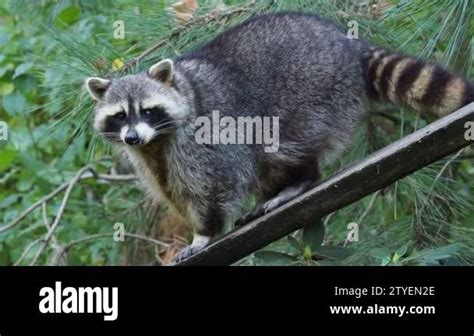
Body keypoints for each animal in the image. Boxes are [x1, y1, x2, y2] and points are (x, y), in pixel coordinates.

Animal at [86, 12, 474, 262]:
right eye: (120, 116)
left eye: (148, 111)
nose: (132, 138)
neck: (157, 140)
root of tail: (350, 46)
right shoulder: (150, 158)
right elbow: (172, 189)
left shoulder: (203, 136)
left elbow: (214, 182)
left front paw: (204, 232)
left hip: (312, 91)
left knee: (284, 146)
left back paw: (297, 181)